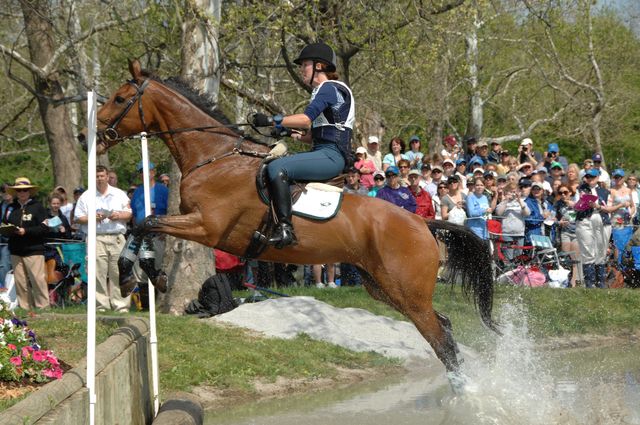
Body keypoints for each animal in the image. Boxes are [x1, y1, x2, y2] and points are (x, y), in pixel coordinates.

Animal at [92, 59, 498, 390]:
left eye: (119, 98)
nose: (89, 137)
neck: (215, 157)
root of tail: (423, 223)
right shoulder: (197, 224)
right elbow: (143, 224)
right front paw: (140, 273)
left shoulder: (207, 226)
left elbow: (146, 222)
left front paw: (135, 271)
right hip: (384, 288)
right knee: (443, 328)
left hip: (407, 293)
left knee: (440, 337)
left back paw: (465, 394)